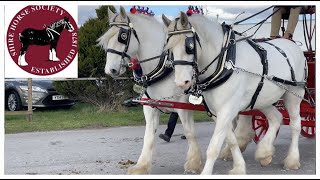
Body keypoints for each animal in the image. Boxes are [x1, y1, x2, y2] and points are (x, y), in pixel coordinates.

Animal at [97, 6, 202, 174]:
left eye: (123, 36)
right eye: (106, 39)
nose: (110, 70)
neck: (165, 68)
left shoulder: (183, 106)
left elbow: (189, 132)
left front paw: (193, 163)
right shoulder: (150, 107)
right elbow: (148, 136)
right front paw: (141, 166)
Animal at [162, 12, 308, 174]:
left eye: (189, 46)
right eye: (169, 49)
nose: (182, 83)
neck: (225, 61)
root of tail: (293, 44)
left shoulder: (227, 109)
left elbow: (214, 146)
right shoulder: (217, 112)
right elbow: (231, 140)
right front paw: (239, 167)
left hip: (294, 94)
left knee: (295, 125)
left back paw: (292, 159)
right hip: (262, 99)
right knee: (276, 117)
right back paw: (264, 152)